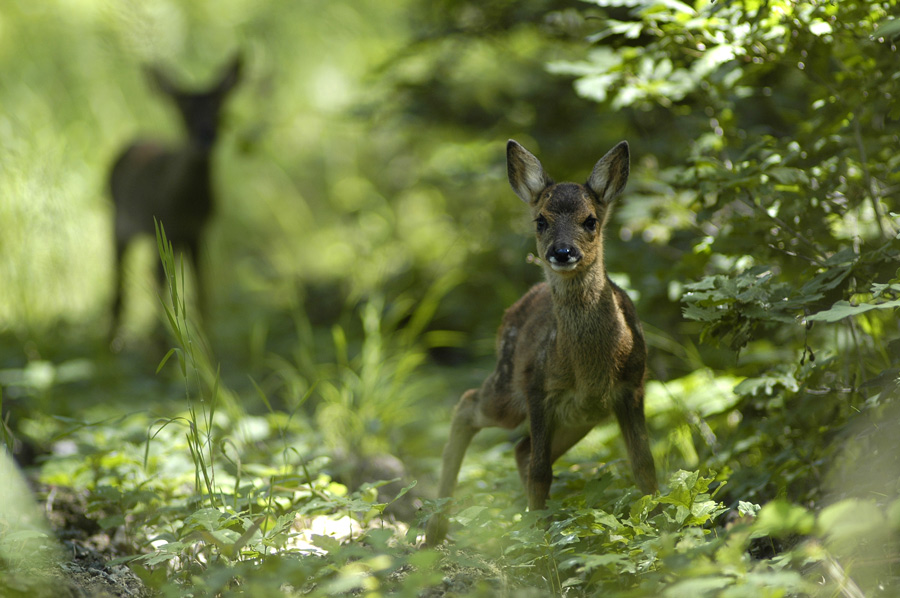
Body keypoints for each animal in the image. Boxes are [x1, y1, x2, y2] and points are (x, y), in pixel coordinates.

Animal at [107, 56, 241, 346]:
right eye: (183, 109)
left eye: (219, 105)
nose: (206, 135)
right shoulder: (165, 228)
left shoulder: (197, 233)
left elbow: (202, 295)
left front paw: (207, 344)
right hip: (119, 224)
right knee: (119, 289)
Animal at [426, 138, 656, 548]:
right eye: (541, 221)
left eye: (590, 220)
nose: (562, 252)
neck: (591, 364)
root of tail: (515, 307)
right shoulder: (538, 387)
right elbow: (540, 473)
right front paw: (542, 553)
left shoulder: (632, 386)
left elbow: (643, 464)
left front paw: (663, 530)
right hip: (509, 388)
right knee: (469, 405)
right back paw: (437, 530)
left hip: (581, 418)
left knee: (520, 449)